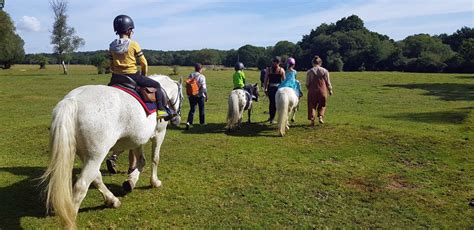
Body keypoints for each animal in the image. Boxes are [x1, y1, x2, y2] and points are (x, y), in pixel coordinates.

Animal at [40, 75, 183, 228]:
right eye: (182, 96)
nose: (177, 118)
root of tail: (72, 101)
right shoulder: (159, 134)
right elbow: (155, 159)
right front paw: (154, 182)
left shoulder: (136, 140)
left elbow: (141, 162)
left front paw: (130, 182)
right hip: (96, 156)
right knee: (81, 186)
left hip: (88, 156)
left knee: (96, 177)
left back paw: (112, 200)